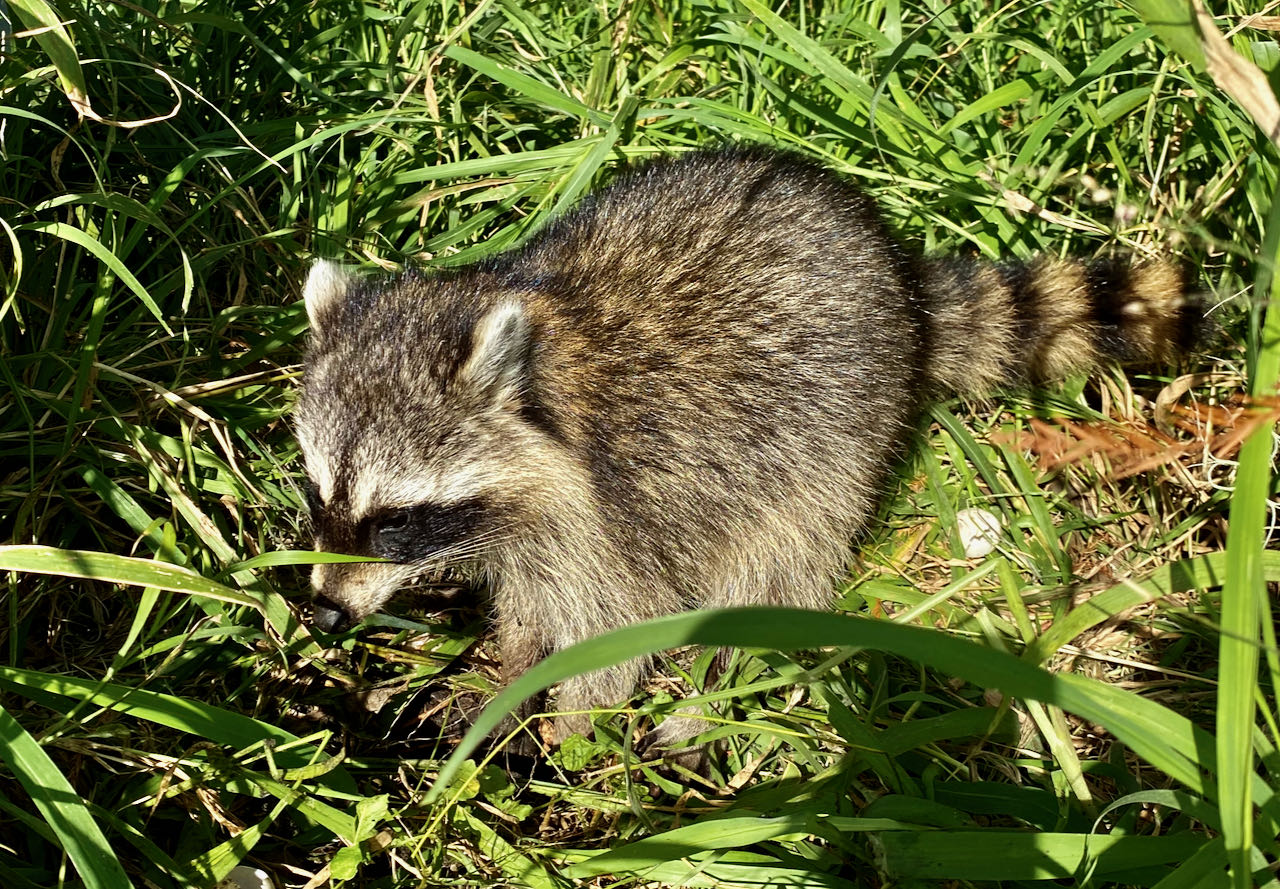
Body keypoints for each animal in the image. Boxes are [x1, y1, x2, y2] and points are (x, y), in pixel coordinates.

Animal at [293, 144, 1198, 741]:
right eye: (318, 494)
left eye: (395, 521)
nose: (324, 614)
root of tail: (900, 277)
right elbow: (531, 605)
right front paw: (506, 669)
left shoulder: (617, 514)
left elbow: (618, 628)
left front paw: (569, 732)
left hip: (836, 449)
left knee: (773, 571)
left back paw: (702, 703)